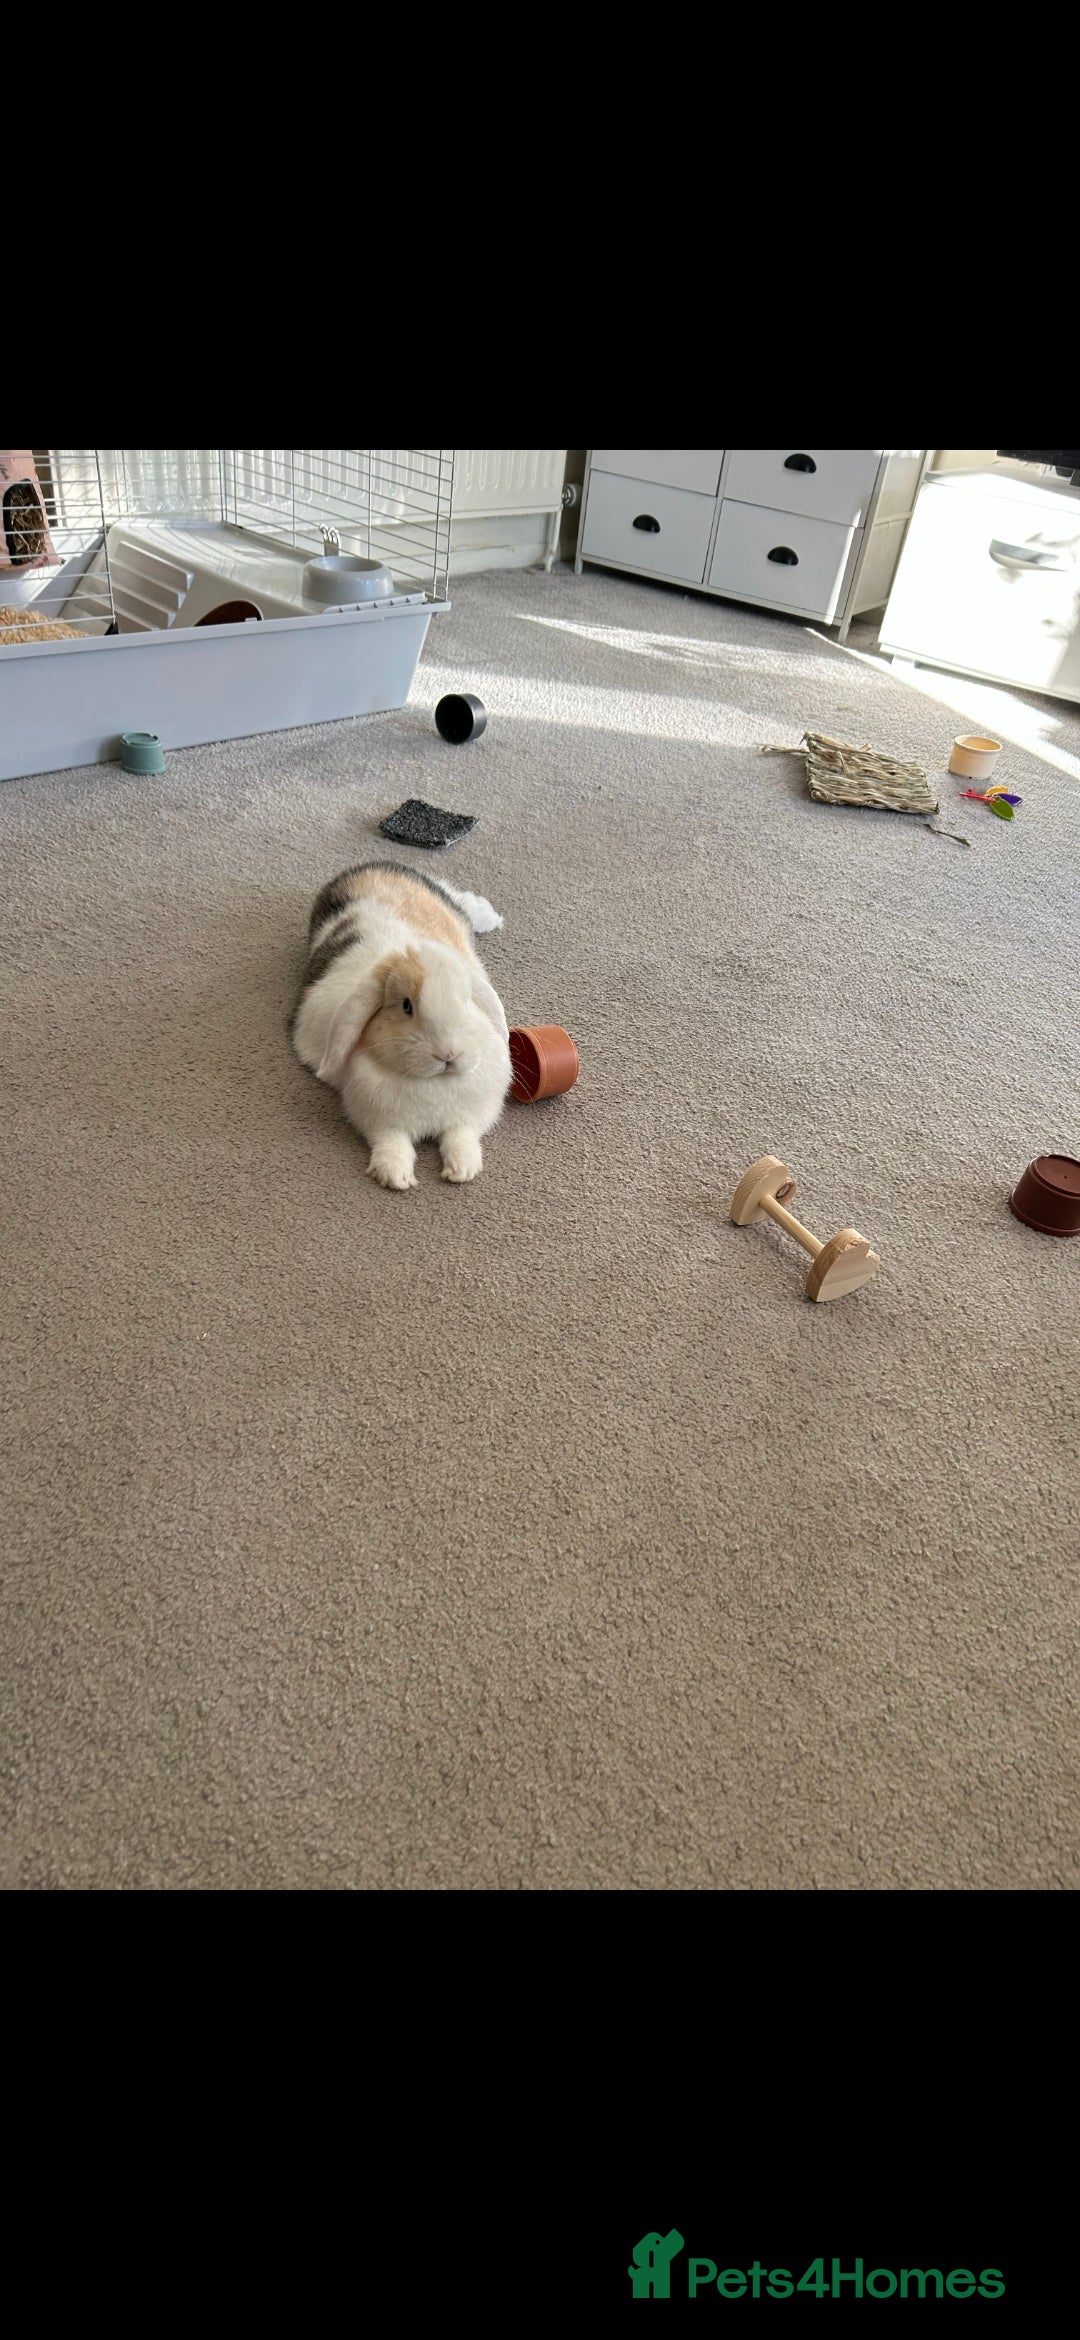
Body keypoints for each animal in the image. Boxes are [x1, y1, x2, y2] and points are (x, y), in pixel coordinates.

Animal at [290, 861, 512, 1190]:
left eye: (467, 1000)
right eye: (406, 1006)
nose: (447, 1055)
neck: (434, 1083)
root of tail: (372, 868)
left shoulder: (469, 1118)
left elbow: (461, 1139)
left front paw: (462, 1170)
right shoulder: (379, 1122)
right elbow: (392, 1143)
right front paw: (395, 1176)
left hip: (445, 898)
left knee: (459, 897)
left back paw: (489, 917)